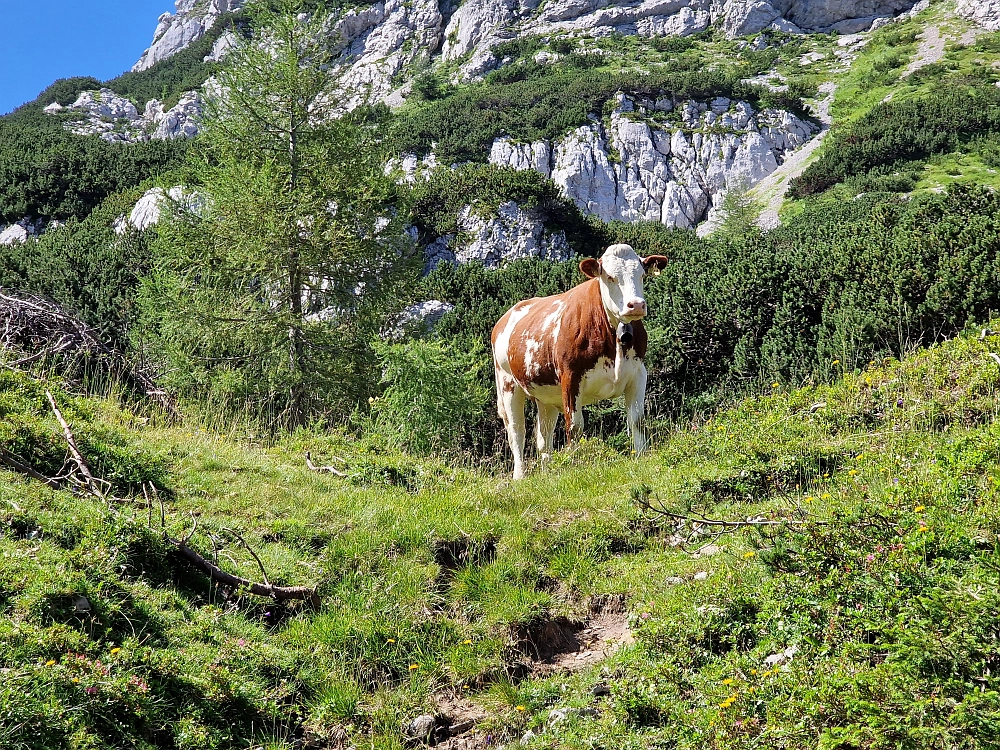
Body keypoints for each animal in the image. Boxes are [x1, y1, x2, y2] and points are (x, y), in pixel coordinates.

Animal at [488, 247, 668, 482]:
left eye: (642, 275)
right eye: (610, 277)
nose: (636, 305)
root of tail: (506, 317)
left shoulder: (638, 373)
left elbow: (636, 419)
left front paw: (641, 456)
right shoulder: (571, 378)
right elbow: (574, 426)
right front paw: (576, 466)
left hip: (546, 394)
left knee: (543, 436)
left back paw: (547, 473)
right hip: (508, 383)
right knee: (517, 431)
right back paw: (520, 476)